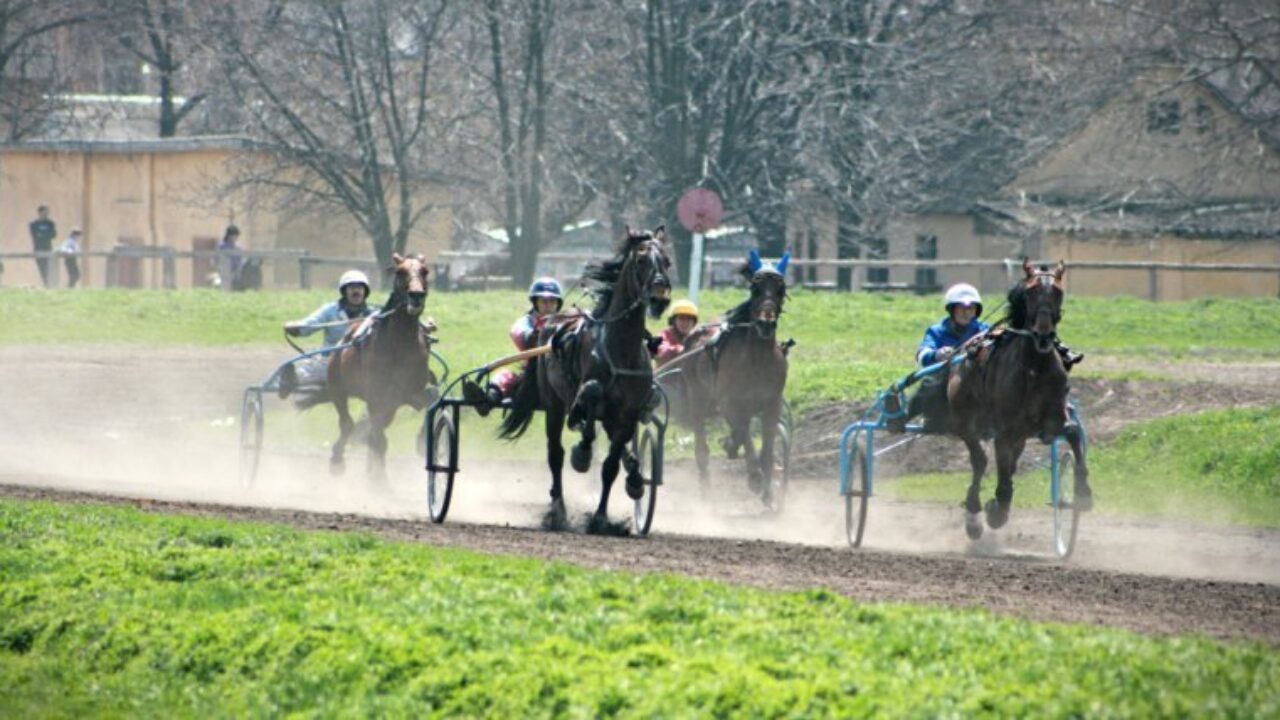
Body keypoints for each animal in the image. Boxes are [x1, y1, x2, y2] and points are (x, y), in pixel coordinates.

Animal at [325, 252, 435, 481]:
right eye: (400, 271)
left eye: (425, 271)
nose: (416, 295)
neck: (399, 344)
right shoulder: (376, 396)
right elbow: (378, 439)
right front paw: (380, 482)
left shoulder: (410, 393)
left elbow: (433, 399)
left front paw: (422, 442)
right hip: (336, 386)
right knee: (348, 424)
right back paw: (338, 460)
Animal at [496, 226, 675, 530]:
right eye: (641, 260)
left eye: (666, 261)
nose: (659, 297)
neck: (620, 347)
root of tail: (549, 325)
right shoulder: (586, 393)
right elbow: (590, 396)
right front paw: (582, 452)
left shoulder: (627, 413)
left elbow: (610, 466)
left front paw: (602, 516)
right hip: (553, 405)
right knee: (555, 454)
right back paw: (558, 509)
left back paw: (633, 475)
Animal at [660, 251, 788, 504]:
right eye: (755, 288)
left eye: (781, 288)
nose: (765, 323)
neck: (757, 360)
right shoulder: (730, 402)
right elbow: (744, 434)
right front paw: (755, 478)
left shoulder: (772, 403)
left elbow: (766, 448)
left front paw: (768, 493)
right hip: (698, 400)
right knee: (701, 446)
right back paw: (706, 487)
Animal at [947, 256, 1095, 532]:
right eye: (1030, 291)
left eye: (1058, 291)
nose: (1044, 334)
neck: (1034, 368)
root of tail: (962, 353)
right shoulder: (1005, 430)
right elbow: (1002, 475)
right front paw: (997, 509)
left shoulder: (1052, 419)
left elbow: (1071, 431)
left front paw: (1083, 492)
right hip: (965, 420)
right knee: (979, 460)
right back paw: (975, 510)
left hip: (1021, 434)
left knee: (1007, 461)